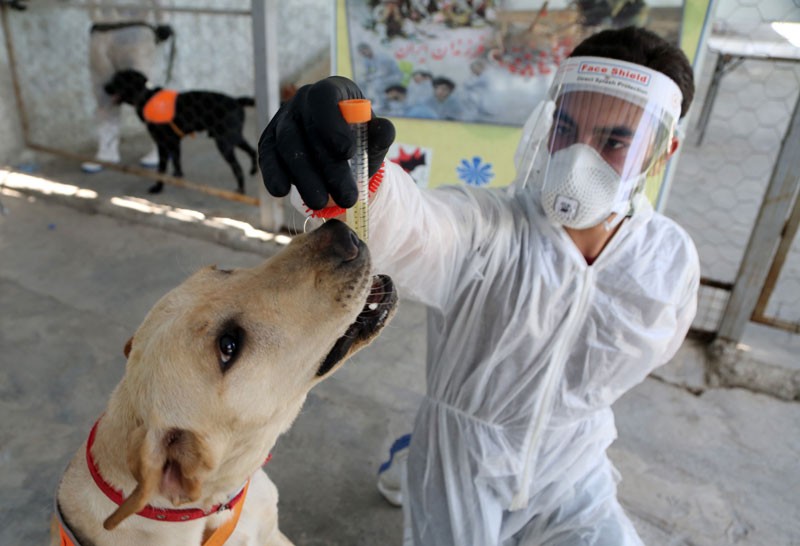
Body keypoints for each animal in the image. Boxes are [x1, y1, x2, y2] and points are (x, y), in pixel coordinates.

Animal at [104, 69, 256, 193]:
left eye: (117, 80)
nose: (104, 87)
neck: (146, 96)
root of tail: (237, 101)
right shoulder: (175, 141)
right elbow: (177, 160)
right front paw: (178, 176)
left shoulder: (163, 144)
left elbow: (161, 169)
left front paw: (158, 187)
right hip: (233, 137)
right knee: (253, 150)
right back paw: (254, 170)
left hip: (224, 142)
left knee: (238, 167)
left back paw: (241, 189)